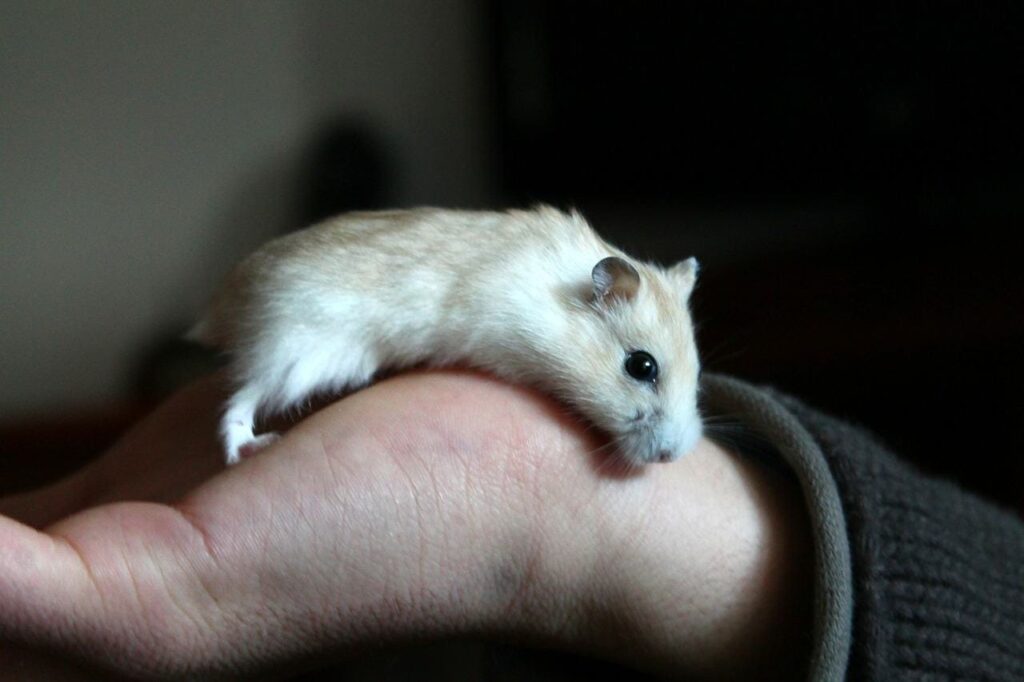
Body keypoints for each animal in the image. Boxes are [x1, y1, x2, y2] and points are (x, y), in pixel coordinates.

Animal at [190, 206, 703, 466]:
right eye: (641, 366)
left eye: (697, 375)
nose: (670, 457)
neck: (554, 296)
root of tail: (222, 306)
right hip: (297, 348)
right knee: (241, 399)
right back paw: (247, 447)